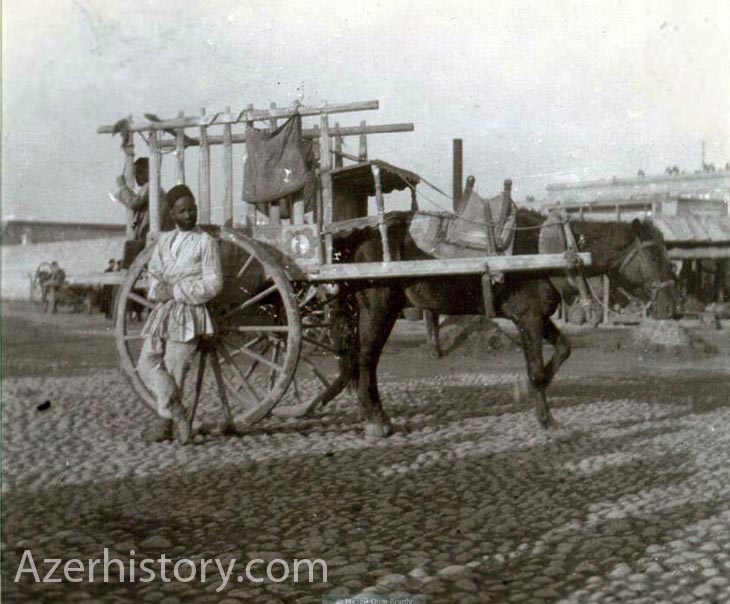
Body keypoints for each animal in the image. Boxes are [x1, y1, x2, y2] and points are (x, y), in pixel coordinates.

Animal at [336, 210, 676, 436]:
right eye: (655, 255)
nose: (672, 305)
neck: (552, 249)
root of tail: (360, 238)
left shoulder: (536, 317)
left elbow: (563, 349)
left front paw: (523, 390)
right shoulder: (528, 317)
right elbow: (536, 369)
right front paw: (546, 419)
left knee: (366, 361)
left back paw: (373, 414)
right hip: (378, 309)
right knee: (366, 360)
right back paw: (376, 419)